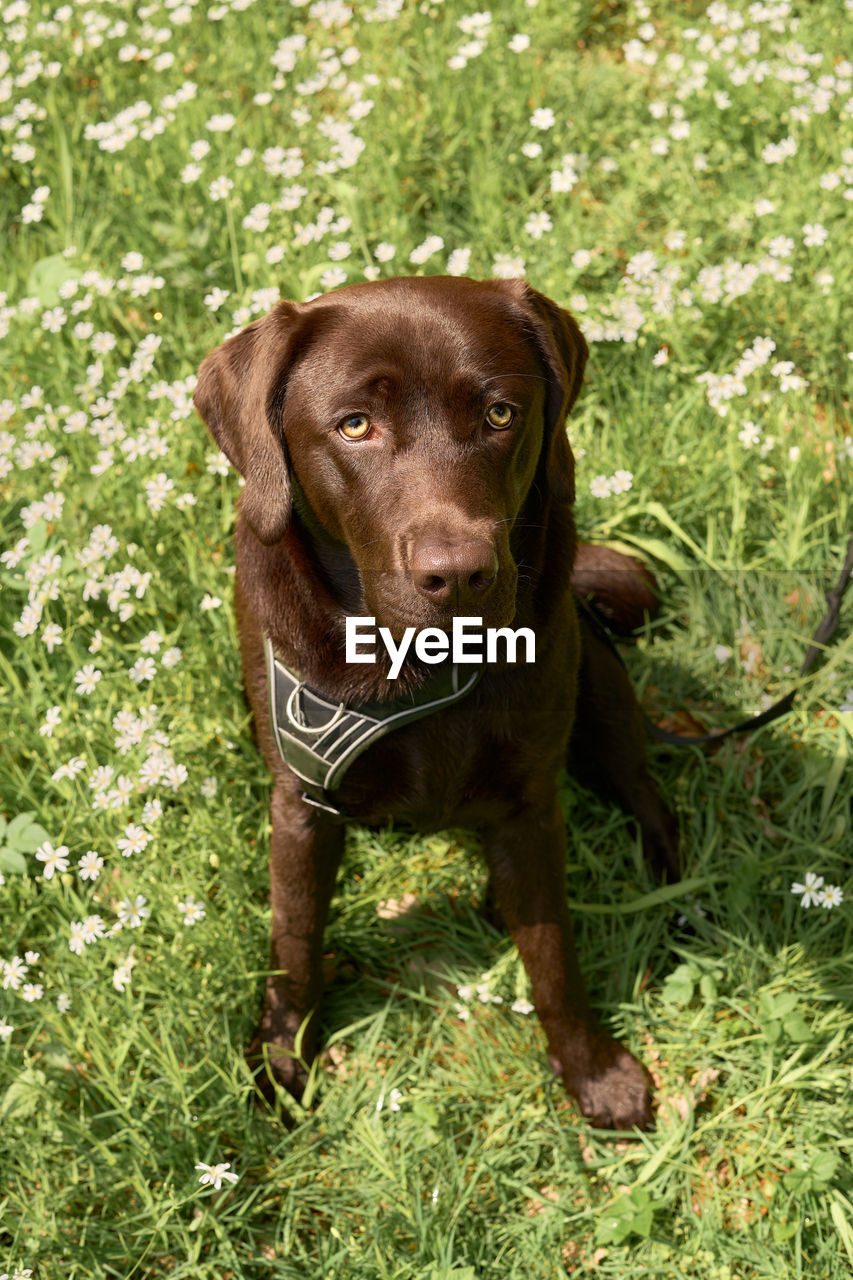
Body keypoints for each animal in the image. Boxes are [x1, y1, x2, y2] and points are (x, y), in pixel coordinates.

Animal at [194, 275, 676, 1126]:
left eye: (499, 414)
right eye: (354, 425)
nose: (458, 575)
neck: (414, 670)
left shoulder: (527, 804)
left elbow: (551, 953)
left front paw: (591, 1070)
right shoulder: (301, 806)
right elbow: (293, 943)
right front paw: (283, 1059)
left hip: (600, 694)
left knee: (647, 796)